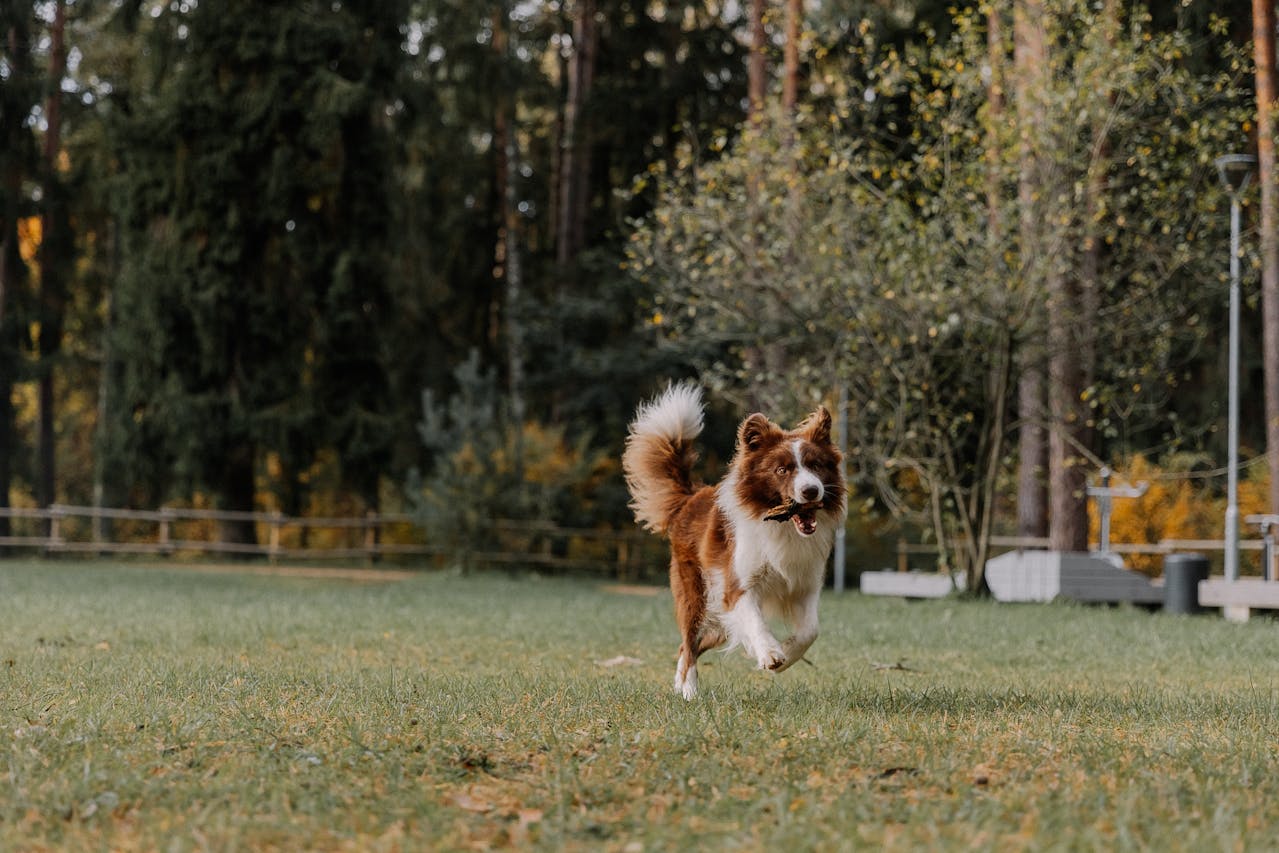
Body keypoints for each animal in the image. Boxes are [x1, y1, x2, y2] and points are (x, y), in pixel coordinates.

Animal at [621, 383, 844, 695]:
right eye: (782, 470)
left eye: (816, 465)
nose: (811, 491)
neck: (783, 528)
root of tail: (691, 497)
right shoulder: (736, 585)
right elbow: (755, 621)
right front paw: (770, 653)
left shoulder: (805, 585)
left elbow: (810, 631)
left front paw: (786, 654)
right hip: (698, 595)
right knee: (689, 642)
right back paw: (689, 691)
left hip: (719, 617)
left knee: (687, 646)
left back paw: (679, 686)